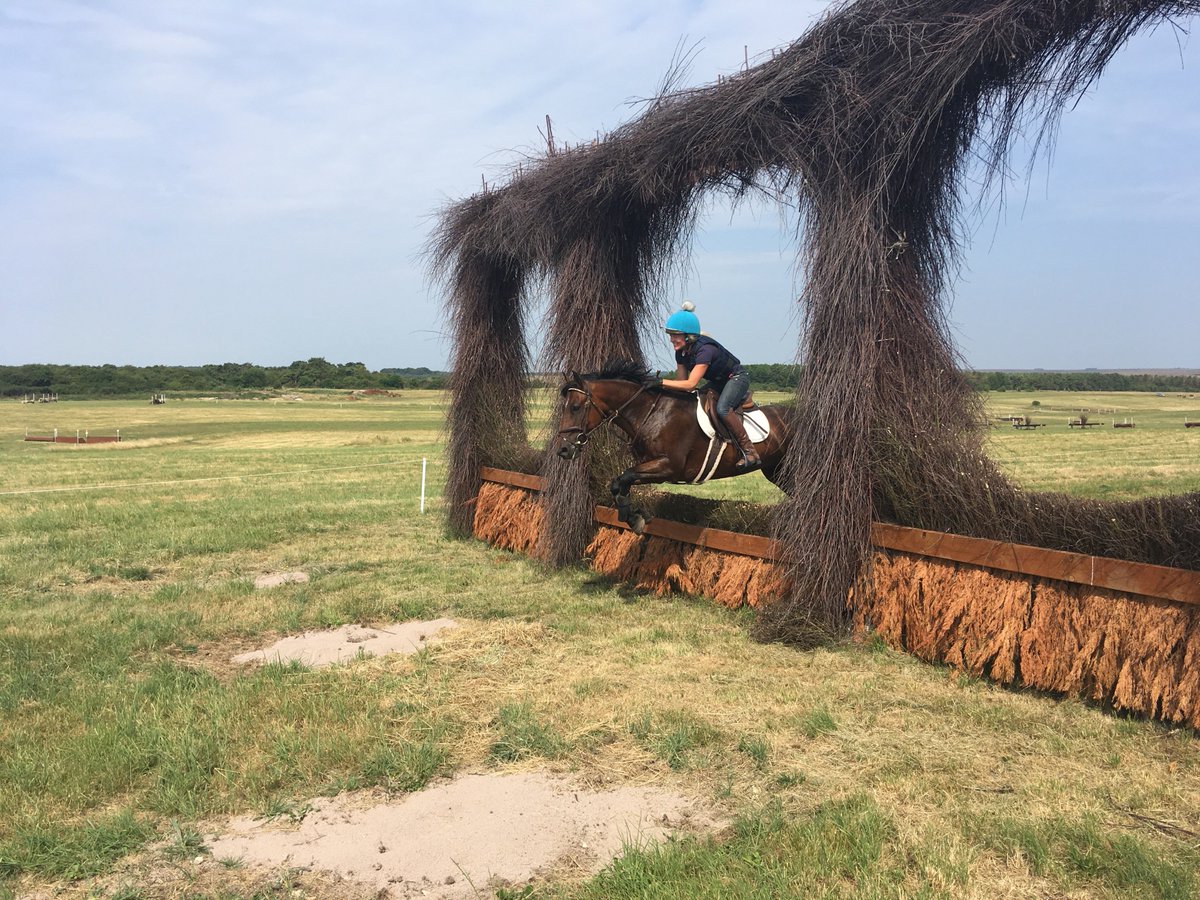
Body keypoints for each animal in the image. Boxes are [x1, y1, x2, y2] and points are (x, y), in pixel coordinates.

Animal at [556, 360, 792, 533]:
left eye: (575, 407)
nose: (563, 450)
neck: (650, 412)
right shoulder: (651, 466)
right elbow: (619, 482)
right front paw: (633, 515)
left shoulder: (669, 467)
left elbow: (625, 476)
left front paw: (635, 518)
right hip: (777, 471)